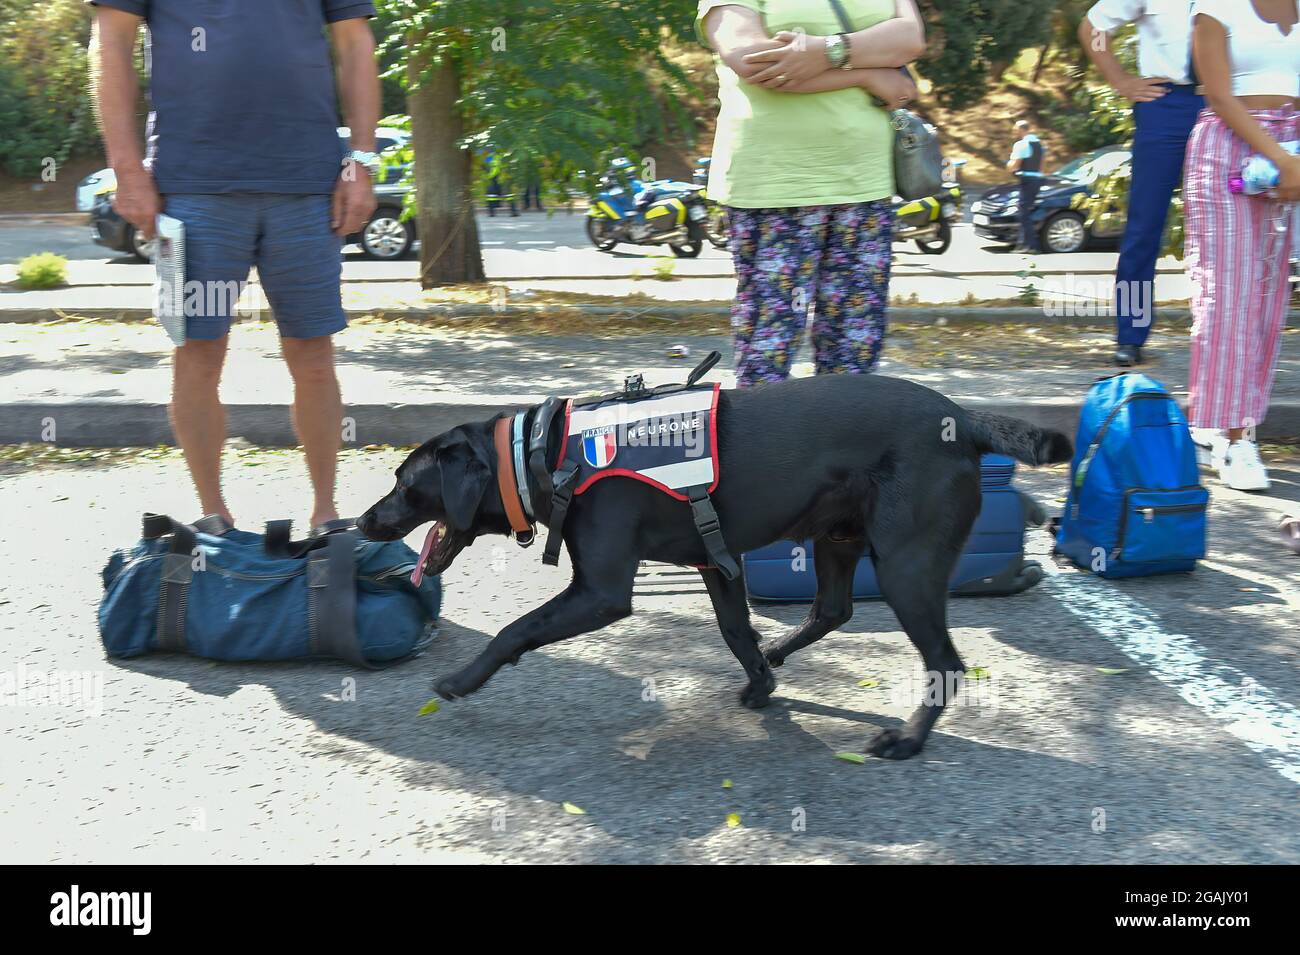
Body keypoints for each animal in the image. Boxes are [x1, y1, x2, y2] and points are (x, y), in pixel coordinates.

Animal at [356, 374, 1066, 764]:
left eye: (404, 485)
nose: (362, 522)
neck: (544, 454)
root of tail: (965, 421)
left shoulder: (601, 591)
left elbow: (514, 630)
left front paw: (461, 680)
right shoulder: (715, 561)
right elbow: (734, 631)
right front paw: (761, 681)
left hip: (905, 565)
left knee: (944, 662)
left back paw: (908, 741)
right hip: (838, 536)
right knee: (830, 609)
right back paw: (780, 653)